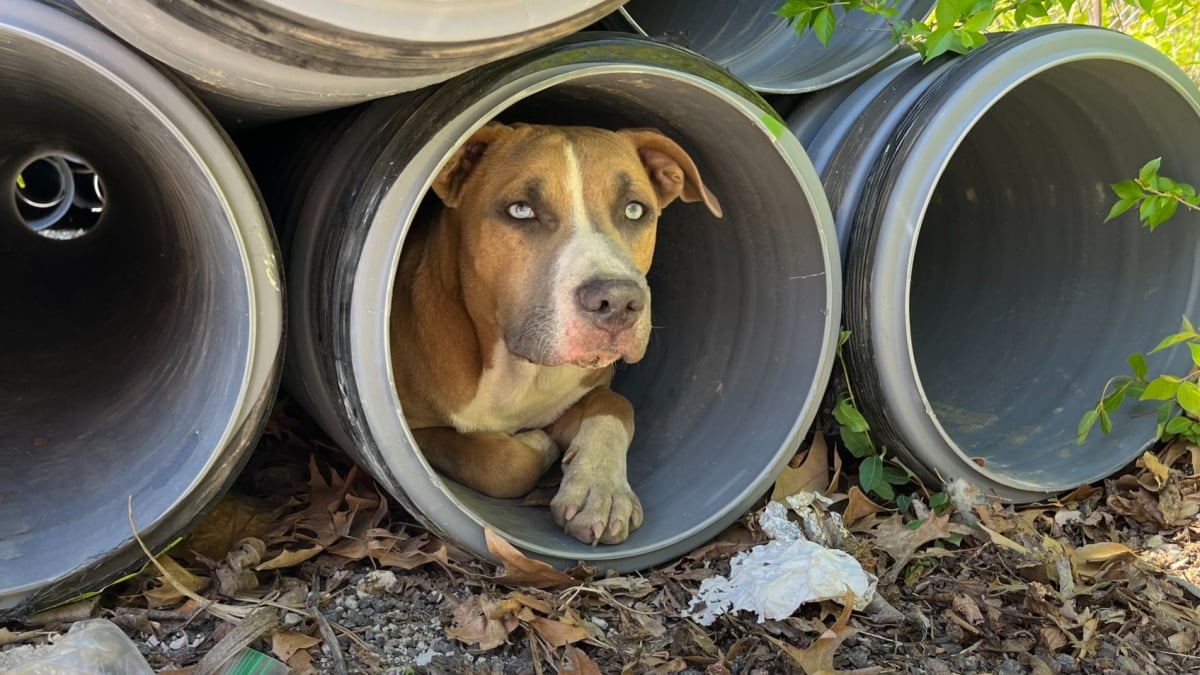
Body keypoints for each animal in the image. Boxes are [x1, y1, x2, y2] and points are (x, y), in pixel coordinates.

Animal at [391, 121, 720, 540]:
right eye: (521, 210)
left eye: (635, 209)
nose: (618, 302)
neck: (519, 372)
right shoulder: (416, 429)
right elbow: (494, 460)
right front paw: (539, 444)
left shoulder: (590, 386)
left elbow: (617, 405)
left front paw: (600, 488)